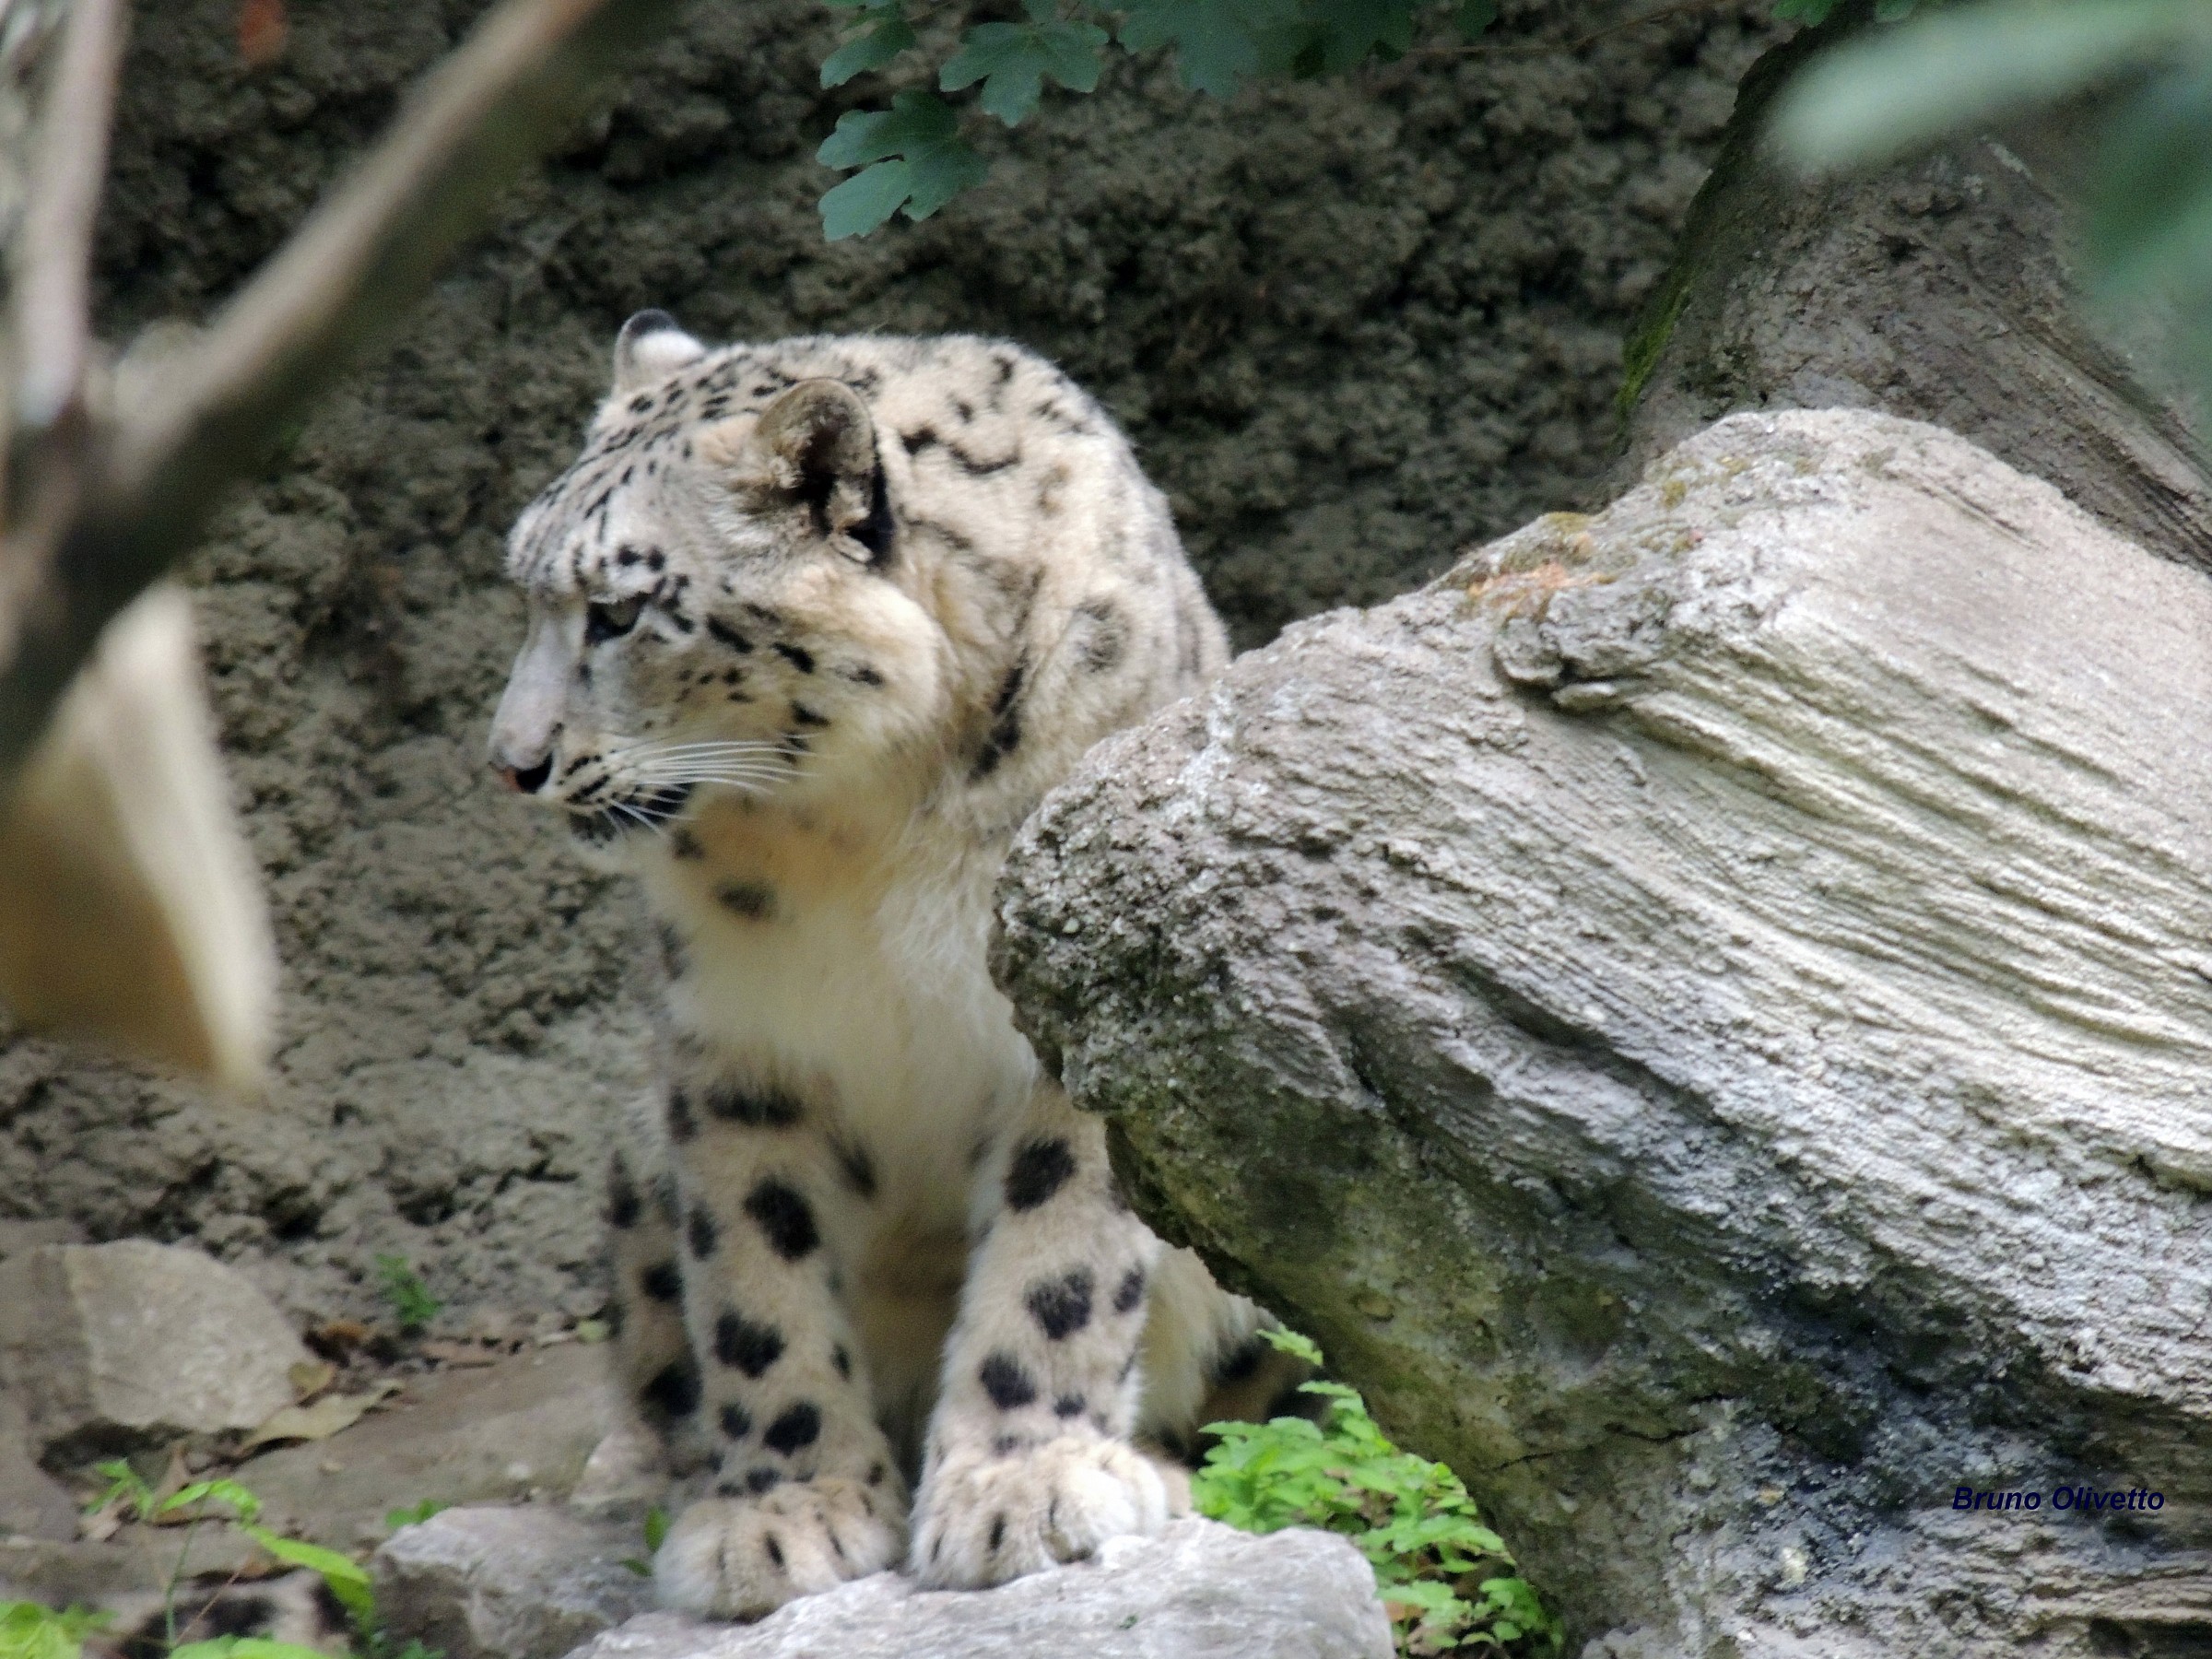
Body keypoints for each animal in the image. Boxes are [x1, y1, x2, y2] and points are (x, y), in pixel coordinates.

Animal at [485, 315, 1310, 1620]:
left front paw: (1026, 1487)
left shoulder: (1086, 1025)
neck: (864, 825)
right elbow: (754, 1279)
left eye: (618, 612)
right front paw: (782, 1518)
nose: (509, 762)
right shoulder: (734, 1041)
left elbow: (1062, 1262)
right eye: (526, 597)